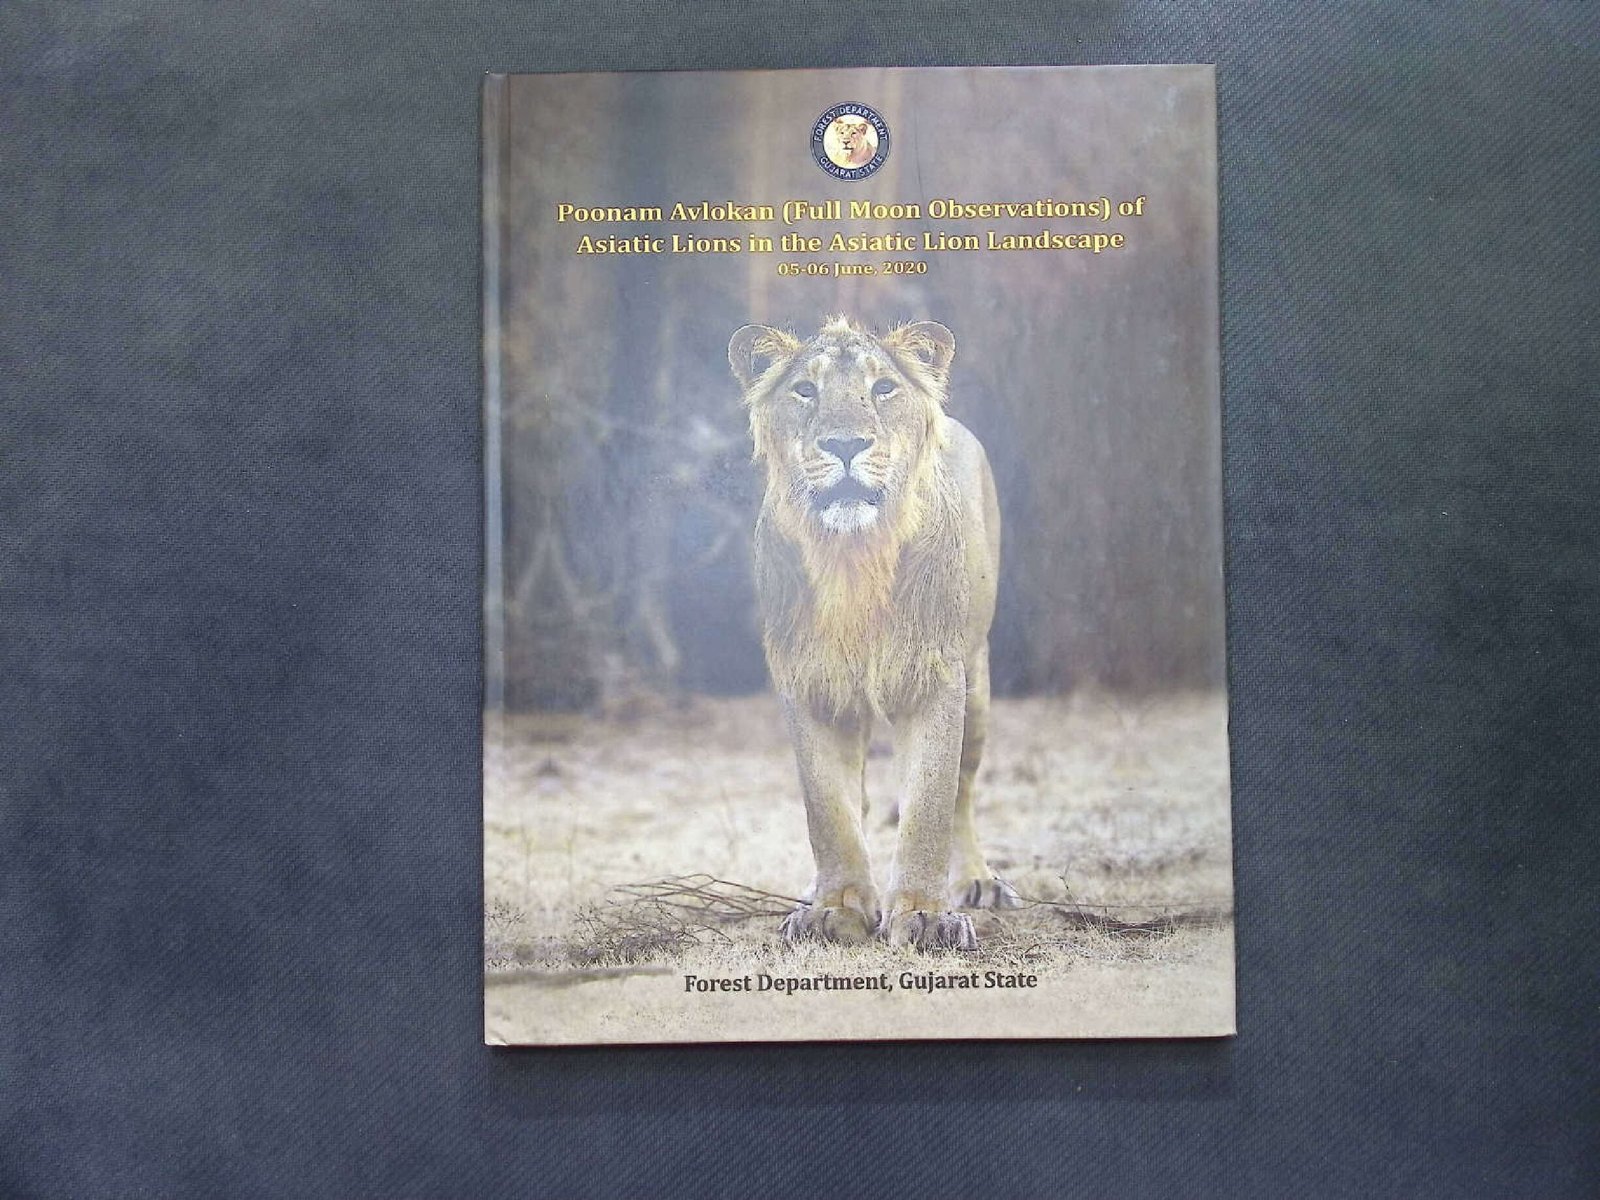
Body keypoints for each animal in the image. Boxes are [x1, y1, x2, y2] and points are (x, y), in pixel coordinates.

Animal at [728, 316, 1020, 950]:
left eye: (883, 387)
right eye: (805, 391)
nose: (844, 445)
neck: (852, 558)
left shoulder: (937, 678)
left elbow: (930, 806)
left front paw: (926, 916)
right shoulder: (810, 685)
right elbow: (828, 811)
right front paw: (834, 908)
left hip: (978, 683)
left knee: (963, 793)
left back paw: (977, 882)